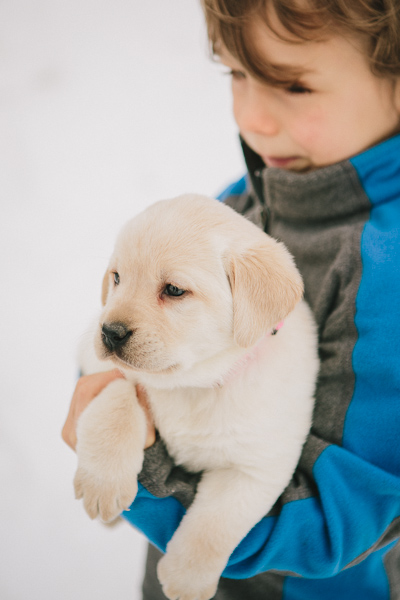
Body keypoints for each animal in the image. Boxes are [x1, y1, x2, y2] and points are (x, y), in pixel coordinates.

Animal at [75, 196, 318, 600]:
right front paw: (103, 484)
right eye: (117, 278)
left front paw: (185, 579)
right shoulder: (94, 366)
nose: (109, 332)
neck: (192, 384)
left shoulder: (256, 468)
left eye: (174, 290)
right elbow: (120, 396)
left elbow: (214, 525)